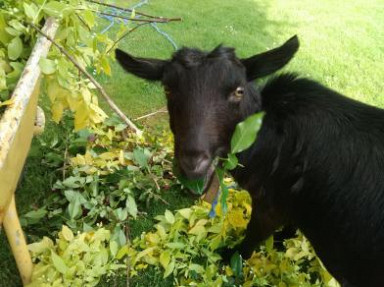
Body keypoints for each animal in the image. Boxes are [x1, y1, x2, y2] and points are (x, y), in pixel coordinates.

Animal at [116, 36, 384, 287]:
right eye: (167, 88)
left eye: (238, 91)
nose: (193, 165)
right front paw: (282, 240)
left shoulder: (270, 205)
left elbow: (253, 235)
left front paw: (231, 256)